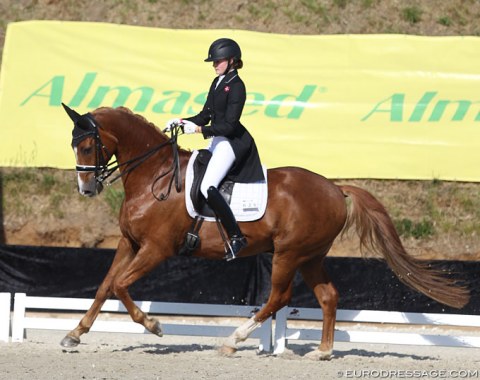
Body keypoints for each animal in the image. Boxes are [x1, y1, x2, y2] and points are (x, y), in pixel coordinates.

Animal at [60, 104, 468, 360]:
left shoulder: (156, 249)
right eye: (73, 144)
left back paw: (234, 340)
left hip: (288, 254)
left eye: (87, 144)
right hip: (311, 256)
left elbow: (121, 285)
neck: (154, 176)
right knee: (328, 296)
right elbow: (105, 286)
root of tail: (336, 188)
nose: (86, 189)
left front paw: (154, 325)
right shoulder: (129, 243)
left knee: (278, 297)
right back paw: (323, 352)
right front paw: (75, 334)